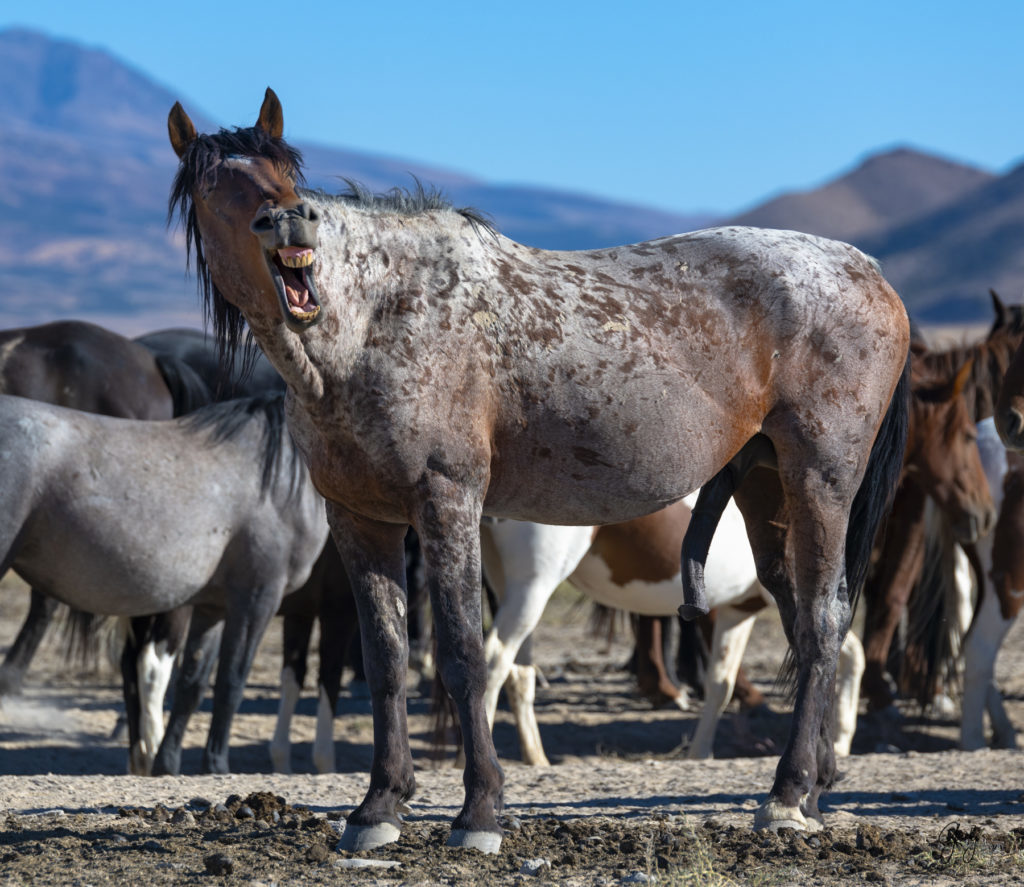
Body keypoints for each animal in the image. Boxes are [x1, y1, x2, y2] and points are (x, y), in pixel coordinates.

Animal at [167, 90, 913, 852]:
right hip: (767, 490)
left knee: (822, 620)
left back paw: (786, 797)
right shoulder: (360, 519)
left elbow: (463, 654)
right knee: (807, 618)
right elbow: (384, 660)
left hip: (822, 479)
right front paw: (377, 809)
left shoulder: (446, 501)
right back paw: (813, 787)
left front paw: (479, 812)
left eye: (285, 171)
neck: (375, 320)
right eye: (212, 185)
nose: (288, 218)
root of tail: (869, 271)